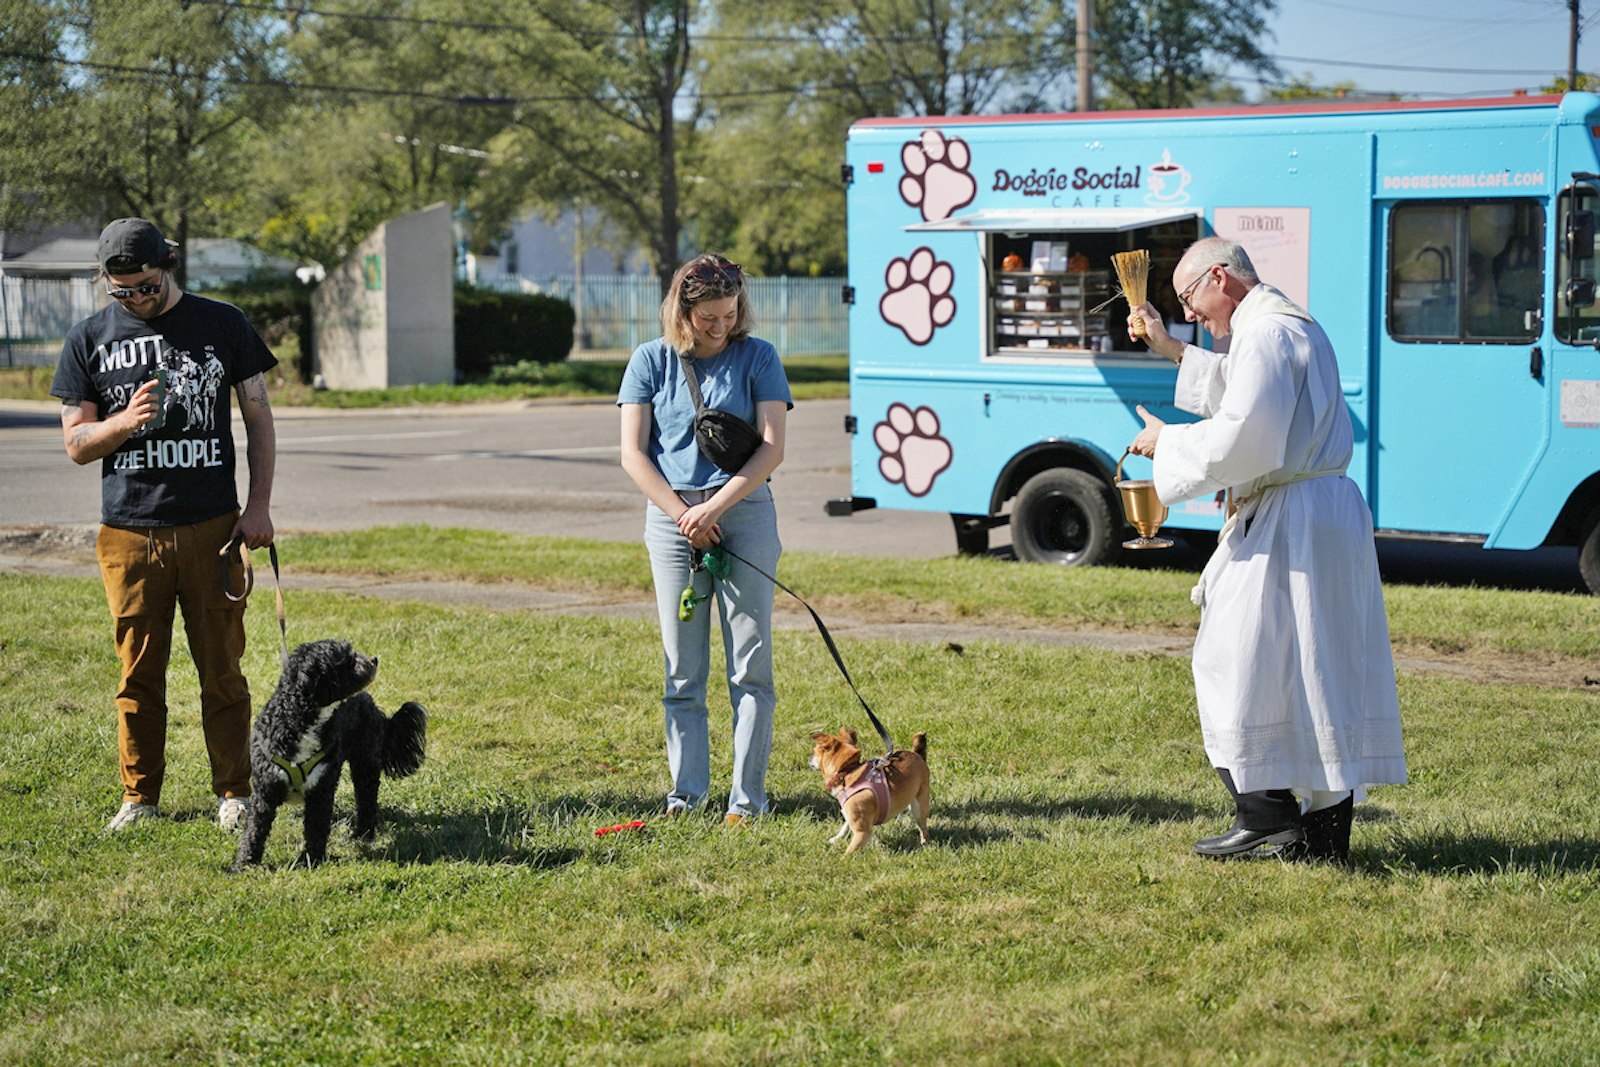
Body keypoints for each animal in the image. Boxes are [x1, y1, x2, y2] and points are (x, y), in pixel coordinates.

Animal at [232, 639, 428, 870]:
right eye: (347, 661)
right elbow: (254, 830)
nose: (374, 660)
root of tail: (370, 702)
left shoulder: (321, 788)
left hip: (365, 763)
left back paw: (363, 834)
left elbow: (316, 828)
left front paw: (311, 860)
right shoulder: (265, 791)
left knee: (367, 800)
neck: (300, 722)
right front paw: (244, 864)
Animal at [806, 726, 934, 851]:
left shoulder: (862, 832)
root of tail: (916, 754)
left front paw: (843, 857)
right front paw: (837, 838)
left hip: (918, 807)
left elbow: (849, 851)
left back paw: (924, 843)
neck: (848, 772)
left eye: (813, 752)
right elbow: (846, 824)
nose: (809, 757)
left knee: (923, 827)